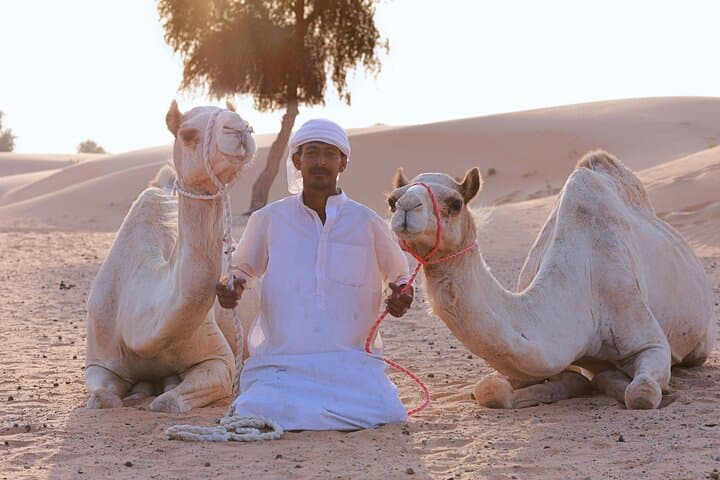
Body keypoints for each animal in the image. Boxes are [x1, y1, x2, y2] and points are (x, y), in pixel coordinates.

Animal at [85, 101, 259, 412]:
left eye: (247, 122)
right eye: (187, 133)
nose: (240, 129)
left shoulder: (219, 360)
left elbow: (166, 403)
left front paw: (163, 391)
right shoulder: (98, 361)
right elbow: (103, 398)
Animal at [388, 150, 716, 409]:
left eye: (455, 203)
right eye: (391, 200)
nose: (405, 207)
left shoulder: (649, 339)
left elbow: (641, 393)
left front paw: (614, 379)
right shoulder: (542, 355)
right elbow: (490, 389)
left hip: (701, 344)